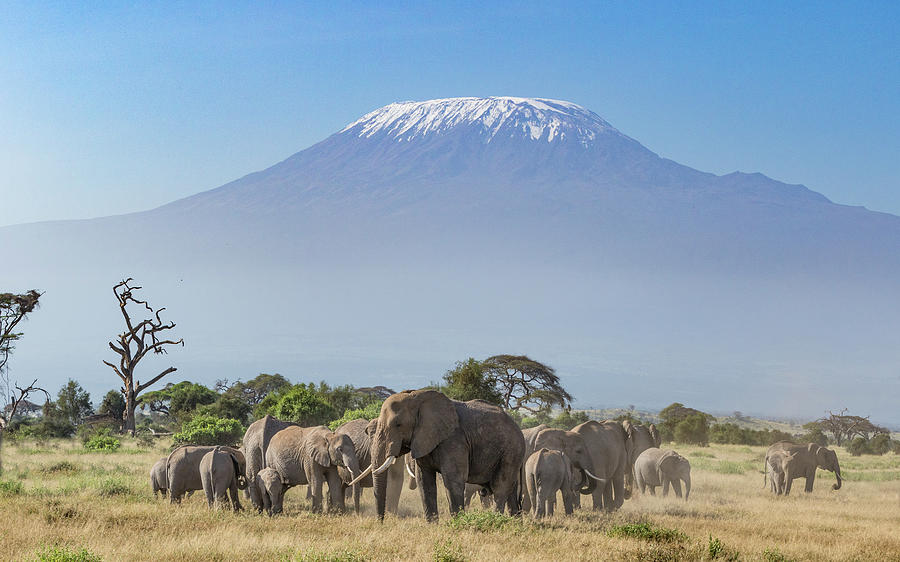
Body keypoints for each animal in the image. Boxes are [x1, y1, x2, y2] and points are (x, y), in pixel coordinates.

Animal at [356, 388, 528, 520]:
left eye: (398, 425)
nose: (381, 521)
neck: (417, 396)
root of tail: (519, 428)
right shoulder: (423, 439)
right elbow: (424, 481)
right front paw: (432, 525)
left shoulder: (454, 439)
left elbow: (453, 480)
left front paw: (457, 525)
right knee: (511, 491)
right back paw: (514, 524)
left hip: (511, 451)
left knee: (500, 487)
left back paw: (495, 519)